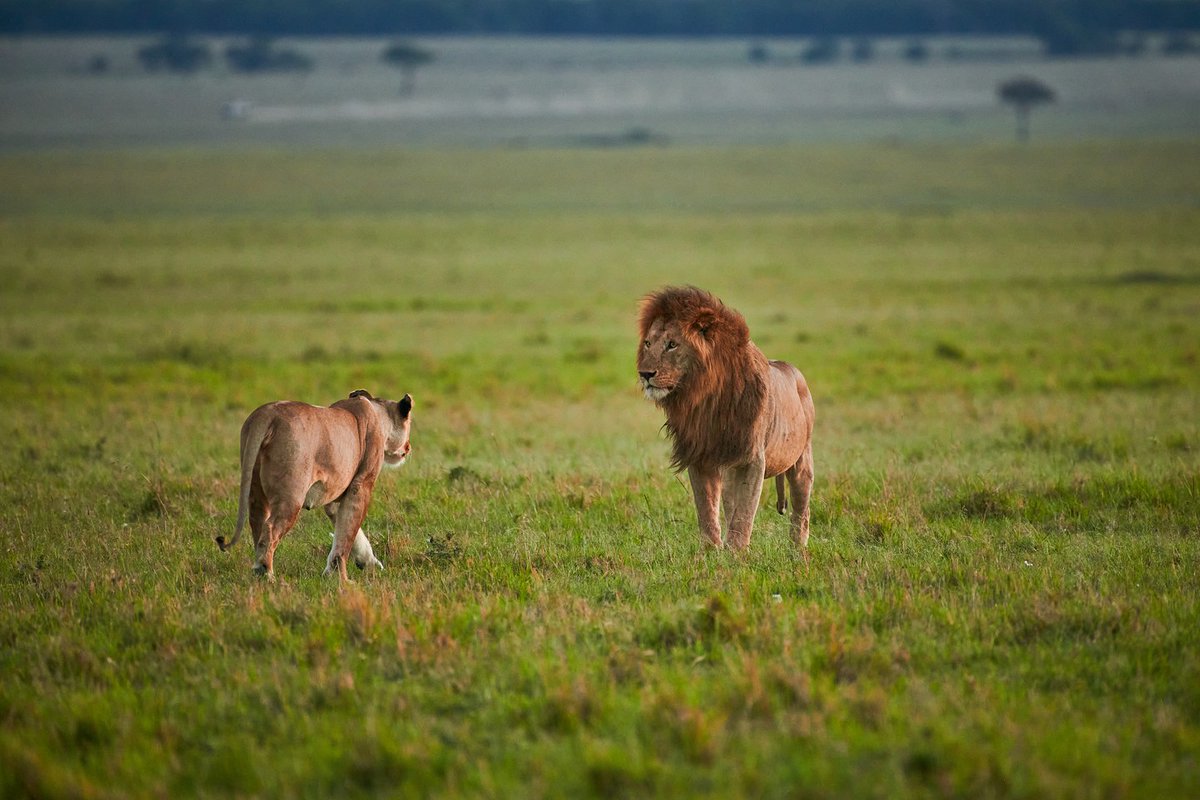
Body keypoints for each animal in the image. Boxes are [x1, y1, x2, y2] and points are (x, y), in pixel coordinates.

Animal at [218, 388, 415, 582]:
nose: (409, 447)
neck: (376, 412)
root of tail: (266, 413)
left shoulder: (335, 495)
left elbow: (346, 531)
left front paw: (364, 564)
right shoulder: (361, 486)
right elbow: (348, 533)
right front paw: (342, 579)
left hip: (255, 489)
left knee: (257, 522)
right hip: (292, 494)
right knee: (271, 528)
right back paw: (265, 573)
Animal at [638, 284, 816, 554]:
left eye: (672, 344)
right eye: (648, 343)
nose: (645, 374)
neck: (706, 398)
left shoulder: (752, 459)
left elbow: (744, 514)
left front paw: (736, 554)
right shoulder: (701, 455)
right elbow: (707, 510)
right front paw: (709, 552)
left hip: (801, 458)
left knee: (801, 507)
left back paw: (798, 549)